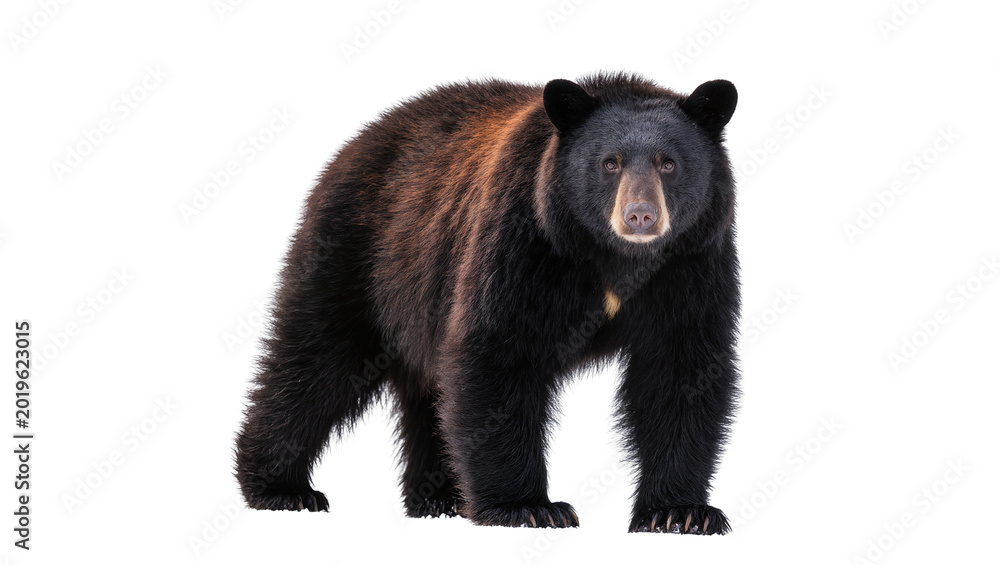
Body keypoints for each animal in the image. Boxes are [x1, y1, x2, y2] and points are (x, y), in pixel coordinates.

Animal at [235, 72, 740, 534]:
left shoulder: (693, 263)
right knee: (317, 360)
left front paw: (680, 512)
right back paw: (282, 488)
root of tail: (354, 143)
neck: (613, 257)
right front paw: (529, 507)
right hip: (360, 255)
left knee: (427, 394)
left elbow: (682, 369)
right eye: (609, 162)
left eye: (668, 163)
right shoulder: (523, 239)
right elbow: (498, 353)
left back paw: (437, 496)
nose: (640, 216)